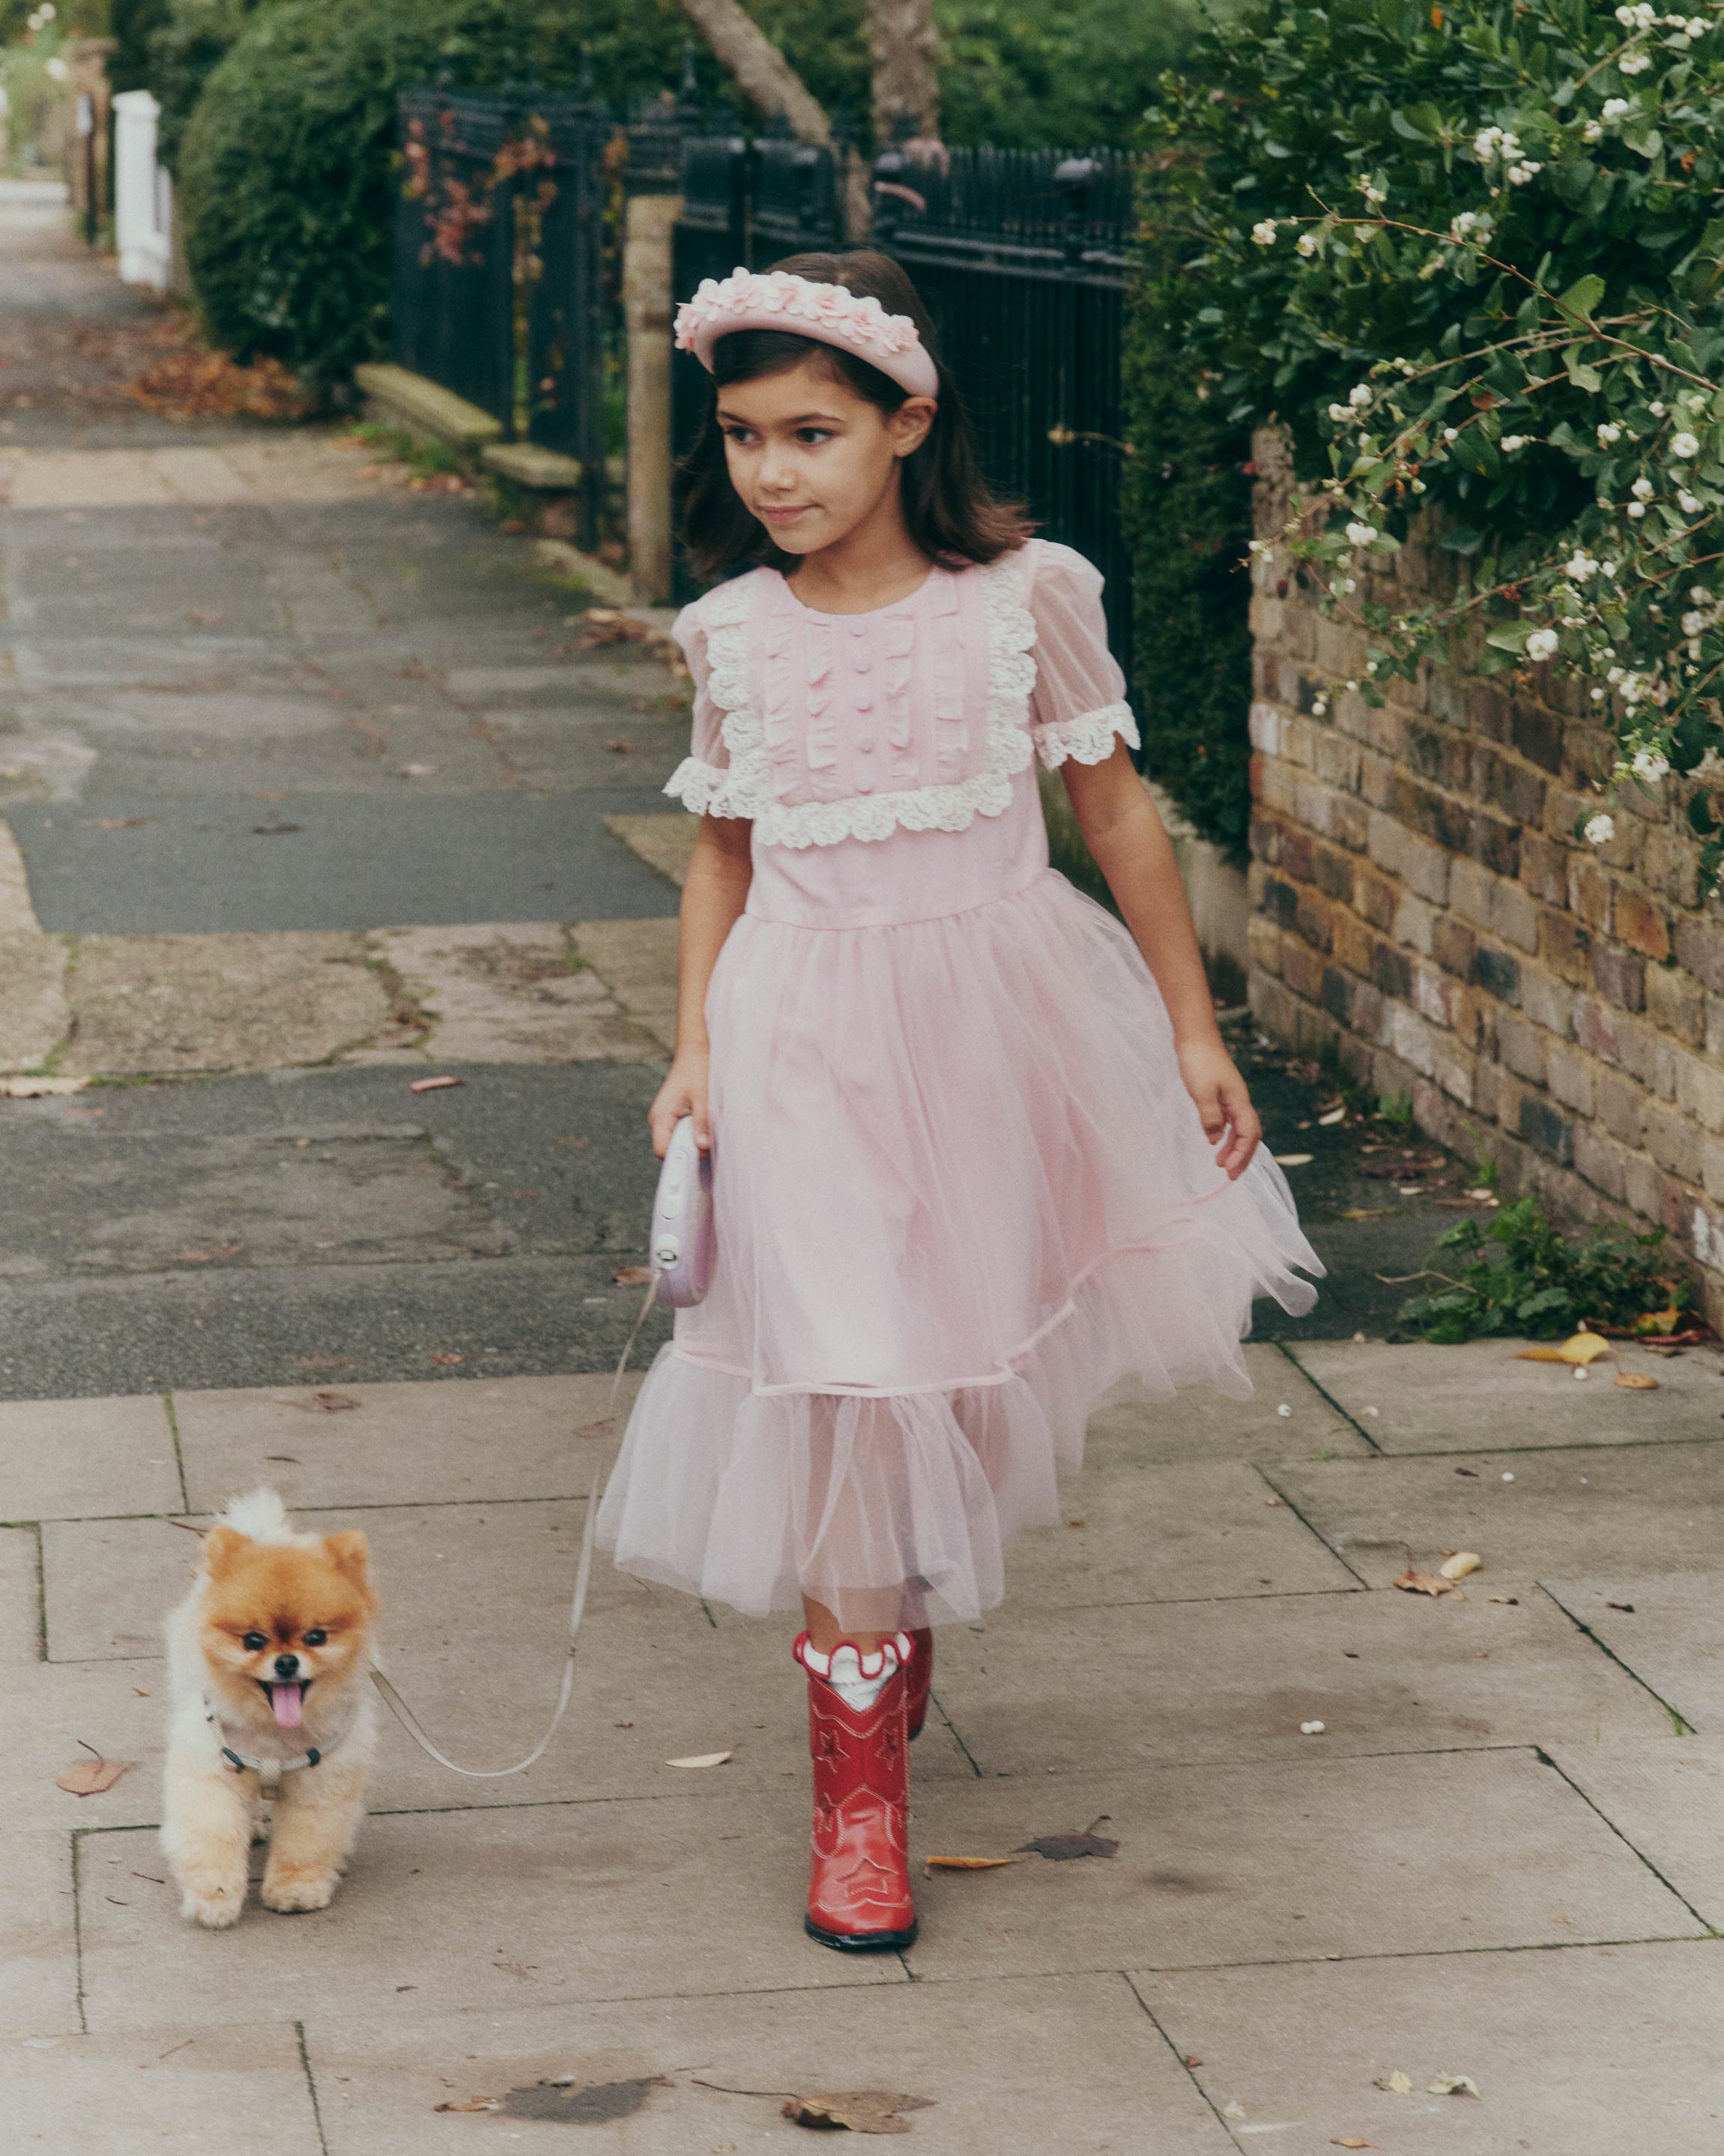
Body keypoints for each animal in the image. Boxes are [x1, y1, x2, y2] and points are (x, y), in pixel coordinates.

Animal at [160, 1491, 377, 1931]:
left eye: (316, 1637)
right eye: (253, 1641)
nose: (287, 1662)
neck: (275, 1738)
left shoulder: (320, 1786)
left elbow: (305, 1843)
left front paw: (296, 1890)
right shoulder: (213, 1777)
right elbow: (212, 1839)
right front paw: (213, 1899)